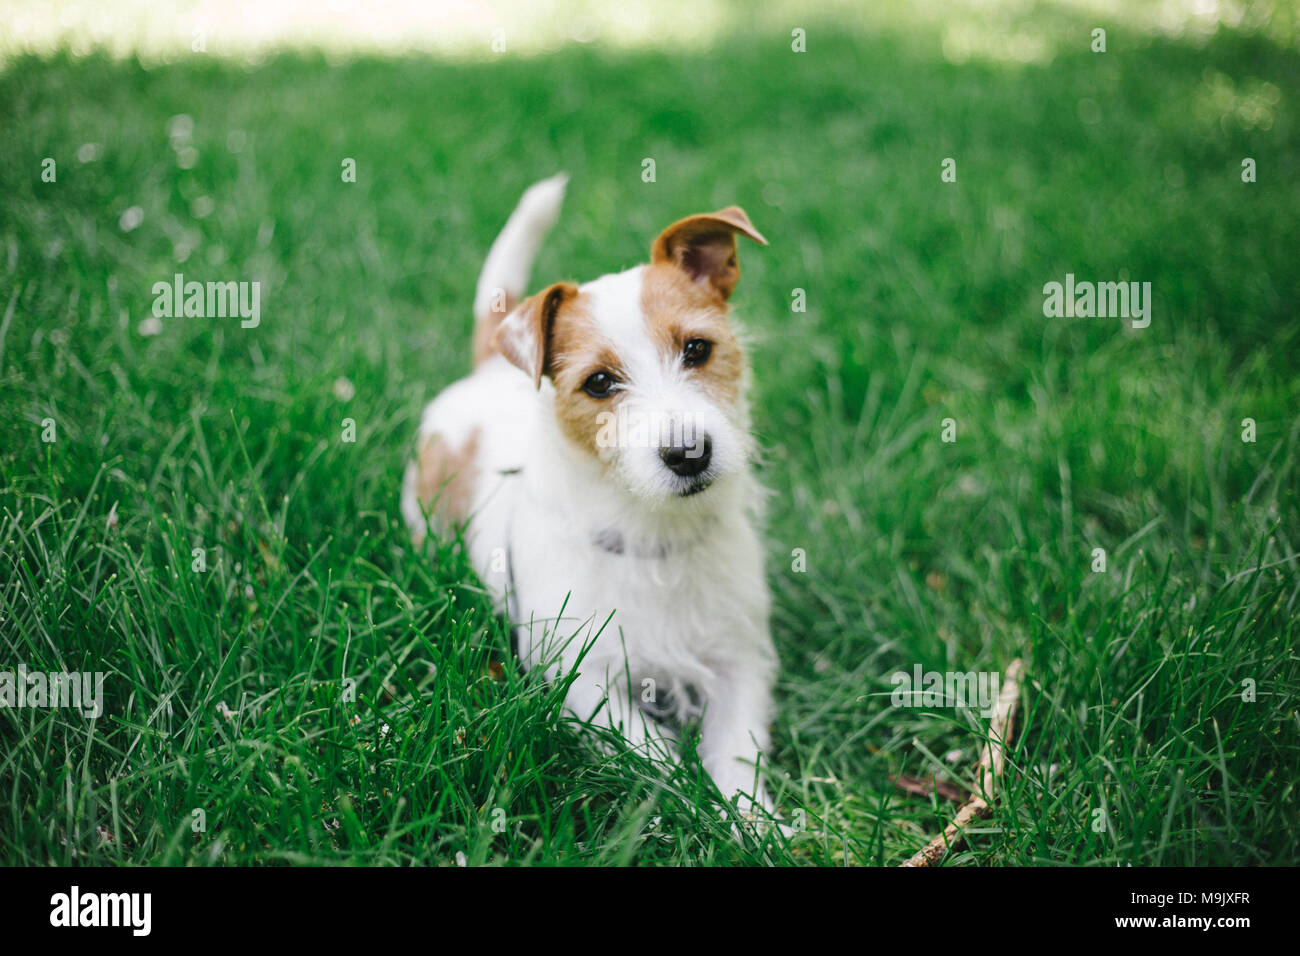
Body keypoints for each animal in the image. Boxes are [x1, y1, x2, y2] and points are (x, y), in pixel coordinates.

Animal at [400, 178, 774, 816]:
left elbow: (736, 753)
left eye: (698, 348)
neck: (654, 528)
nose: (689, 453)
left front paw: (754, 821)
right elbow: (654, 755)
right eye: (599, 383)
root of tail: (487, 368)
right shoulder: (584, 678)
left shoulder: (738, 658)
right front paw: (698, 811)